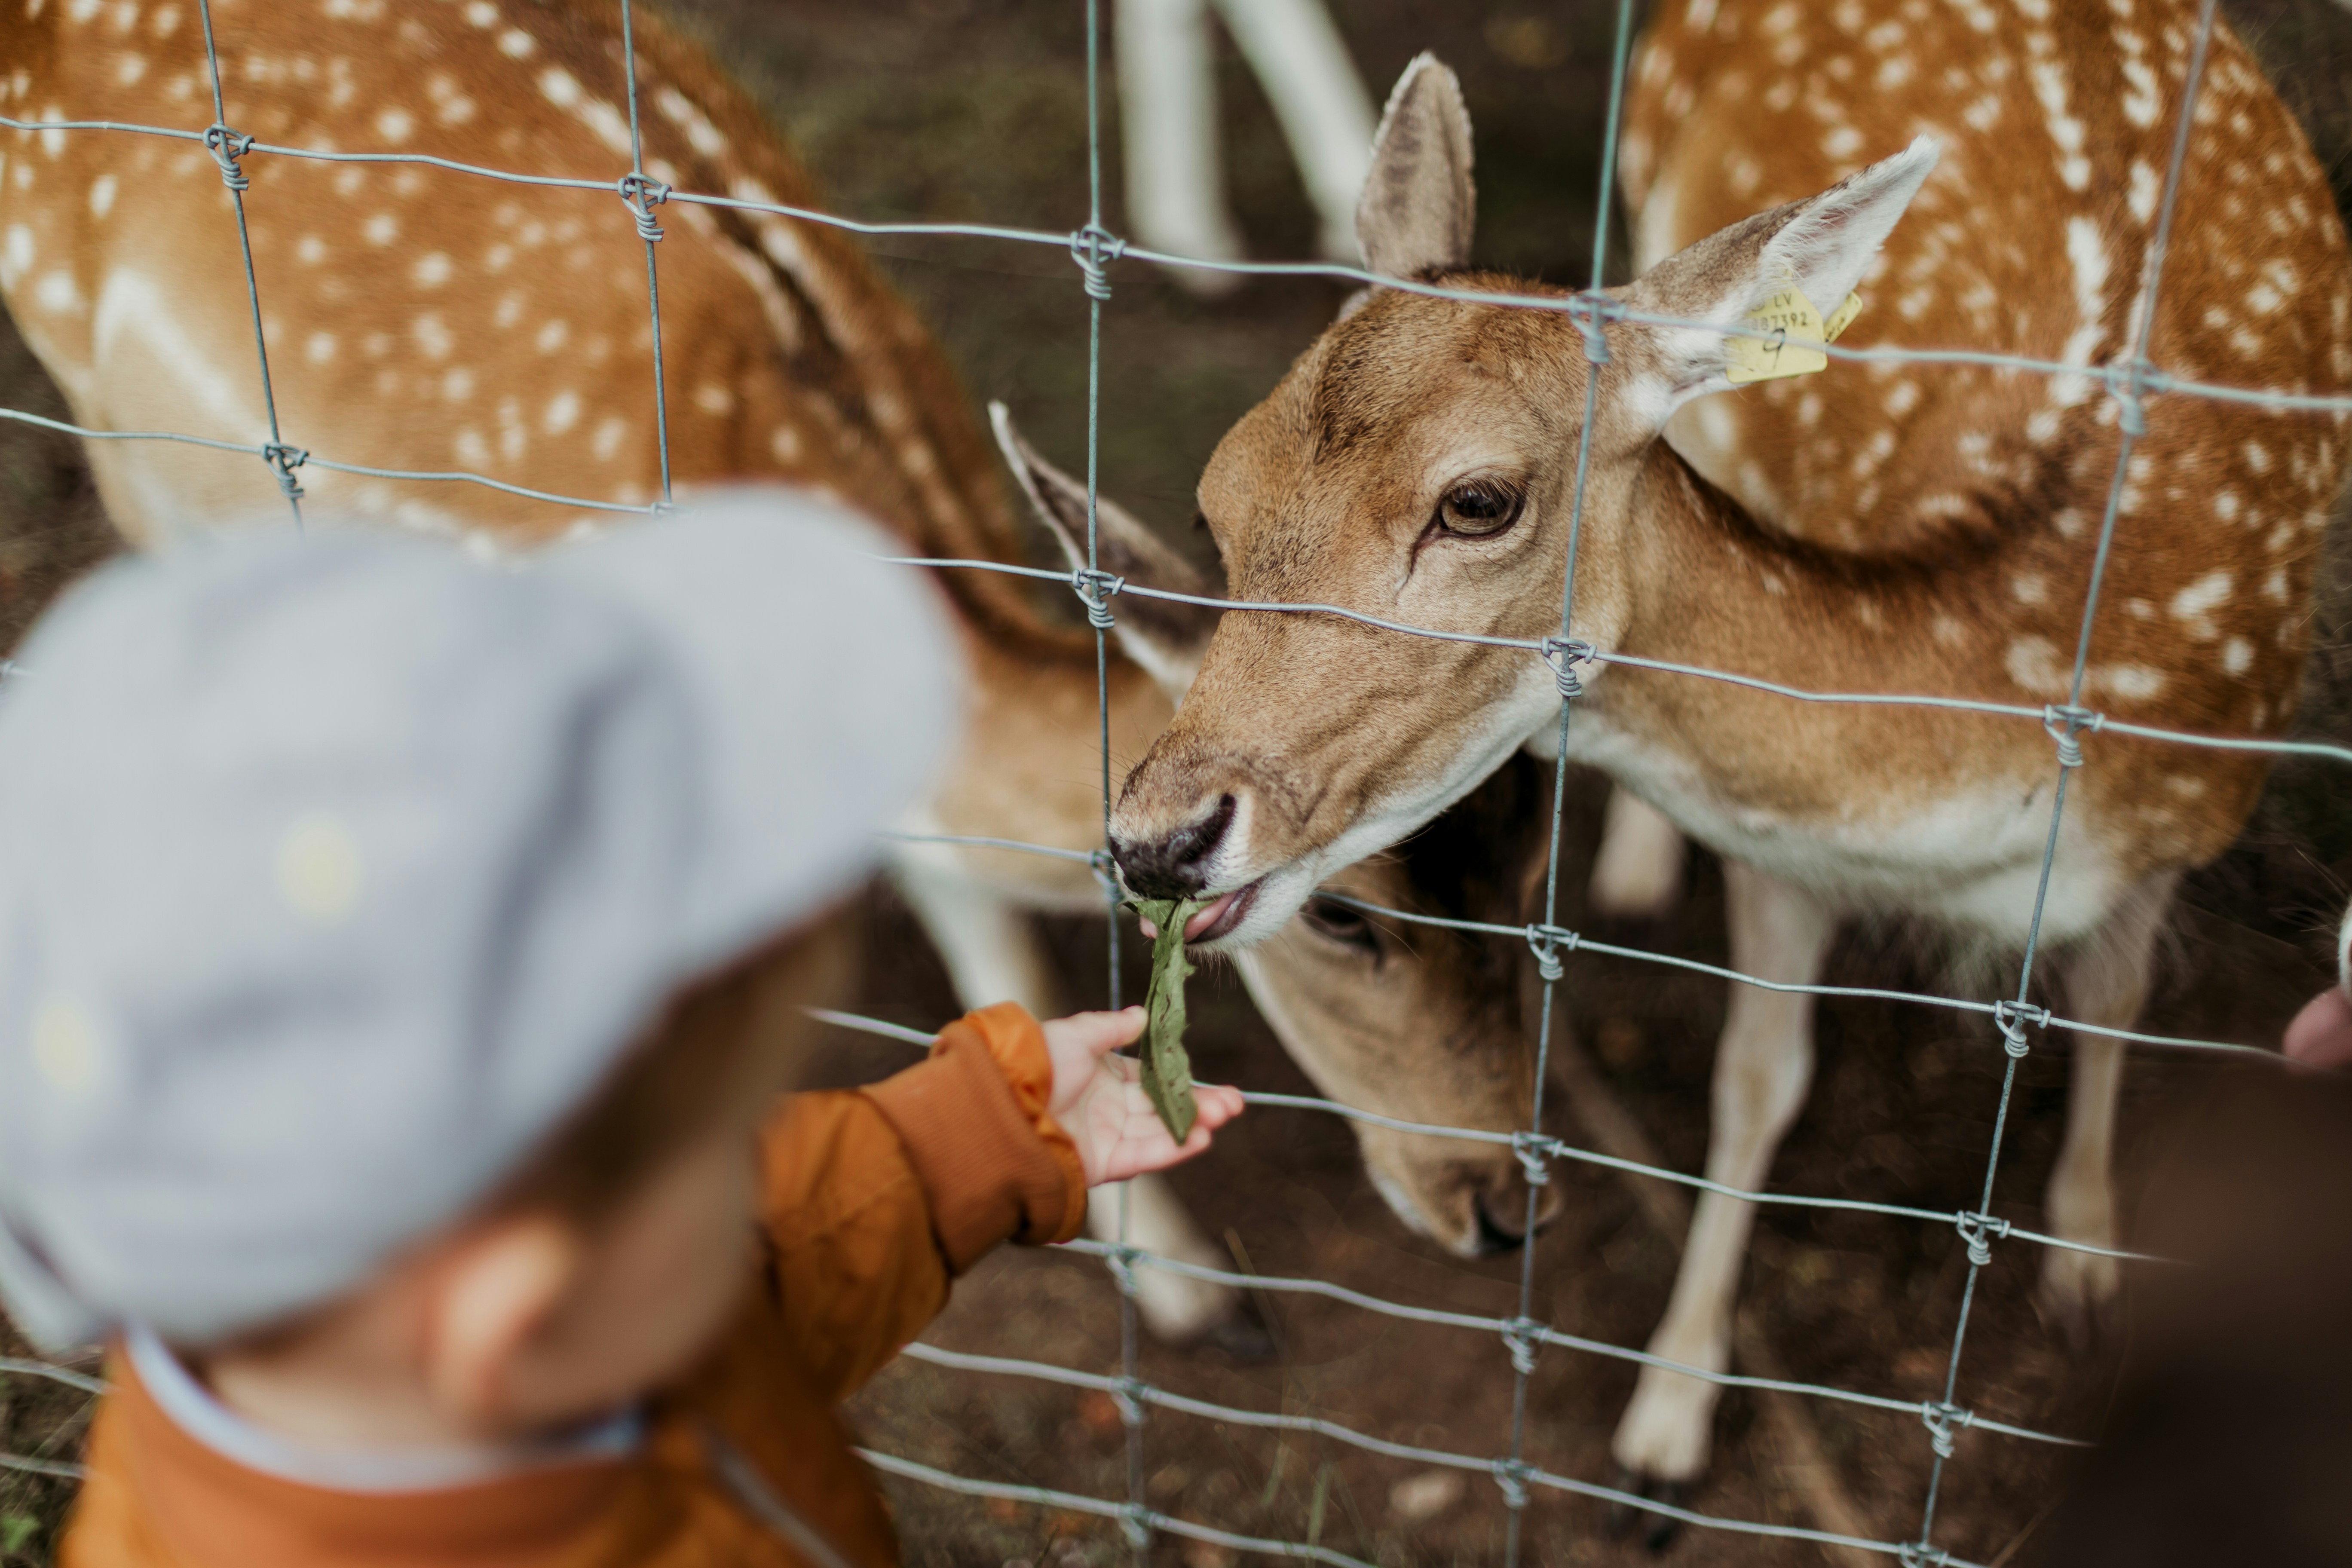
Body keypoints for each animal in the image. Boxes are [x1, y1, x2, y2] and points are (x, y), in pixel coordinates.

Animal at [0, 0, 1561, 1343]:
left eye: (1535, 838)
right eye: (1347, 915)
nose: (1500, 1208)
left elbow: (975, 927)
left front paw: (1179, 1281)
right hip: (121, 428)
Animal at [1090, 0, 2352, 1497]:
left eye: (1477, 501)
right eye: (1214, 500)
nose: (1157, 836)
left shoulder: (2195, 805)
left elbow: (2113, 996)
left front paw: (2090, 1273)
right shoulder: (1778, 844)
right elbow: (1757, 1082)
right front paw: (1665, 1425)